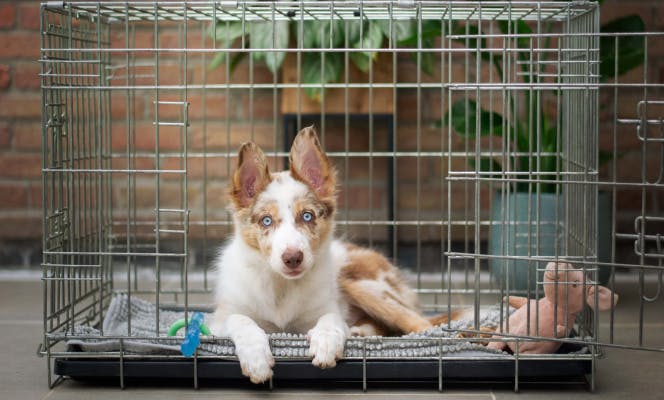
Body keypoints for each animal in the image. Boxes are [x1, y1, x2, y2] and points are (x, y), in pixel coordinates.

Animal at [210, 126, 444, 382]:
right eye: (266, 220)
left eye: (307, 216)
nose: (293, 258)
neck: (281, 286)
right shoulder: (219, 319)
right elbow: (240, 320)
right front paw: (256, 359)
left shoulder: (326, 308)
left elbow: (330, 319)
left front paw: (325, 343)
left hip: (362, 283)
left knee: (422, 324)